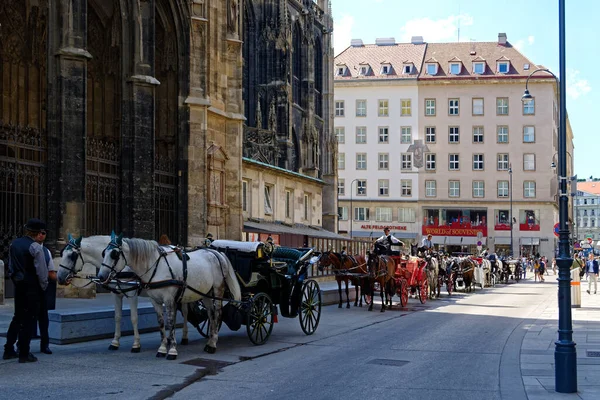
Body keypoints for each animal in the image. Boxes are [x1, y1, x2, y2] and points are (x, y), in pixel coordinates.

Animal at [56, 236, 189, 352]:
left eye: (72, 256)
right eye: (62, 254)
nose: (60, 277)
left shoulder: (132, 293)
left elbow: (134, 318)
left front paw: (136, 344)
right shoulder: (116, 294)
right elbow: (117, 317)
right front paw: (115, 342)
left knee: (185, 313)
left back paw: (184, 337)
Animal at [97, 233, 240, 358]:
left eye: (115, 254)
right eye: (103, 253)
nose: (101, 276)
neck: (156, 266)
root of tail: (217, 253)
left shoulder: (167, 299)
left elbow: (169, 322)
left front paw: (171, 350)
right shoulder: (154, 300)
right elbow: (160, 323)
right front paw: (162, 348)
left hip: (217, 290)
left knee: (218, 314)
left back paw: (213, 343)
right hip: (206, 293)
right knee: (210, 315)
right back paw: (208, 340)